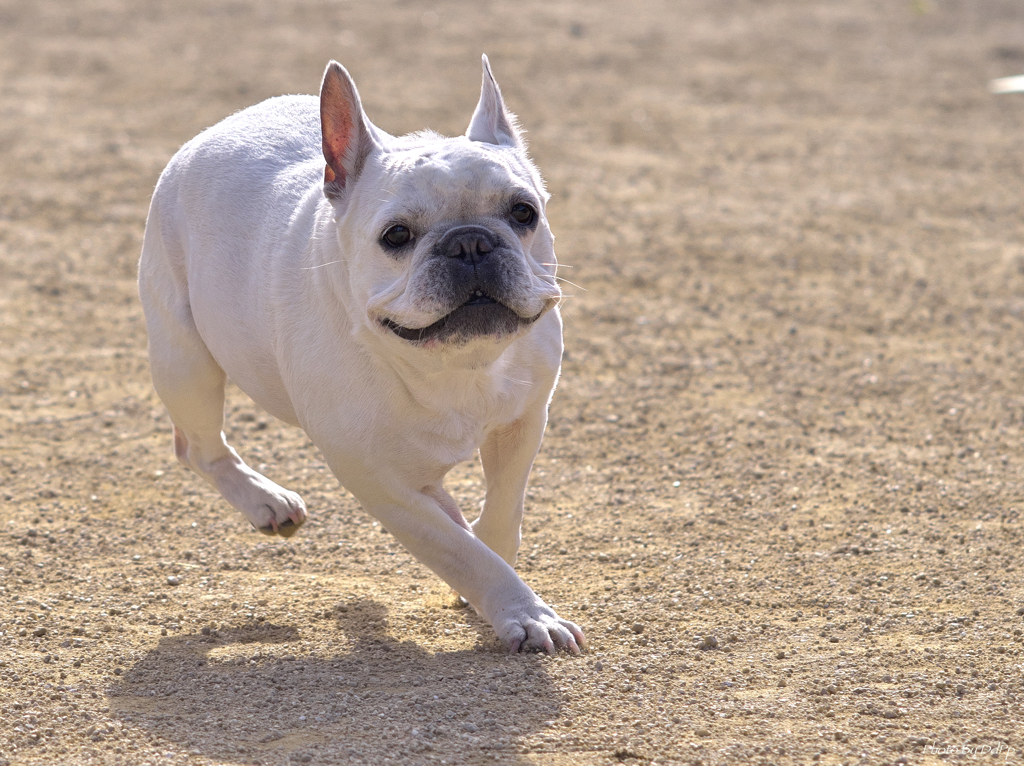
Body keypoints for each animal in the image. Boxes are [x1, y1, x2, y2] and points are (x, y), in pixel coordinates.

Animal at [137, 56, 585, 655]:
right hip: (185, 360)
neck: (450, 366)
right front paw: (523, 611)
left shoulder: (524, 422)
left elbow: (500, 516)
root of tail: (217, 129)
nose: (469, 242)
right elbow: (458, 551)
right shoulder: (377, 482)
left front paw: (500, 582)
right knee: (199, 447)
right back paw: (264, 499)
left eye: (523, 212)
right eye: (395, 236)